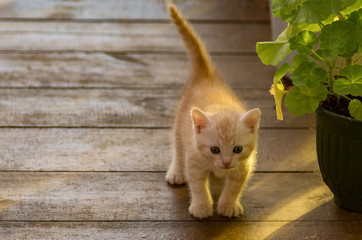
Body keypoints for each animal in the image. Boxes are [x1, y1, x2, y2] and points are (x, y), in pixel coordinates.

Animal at [167, 2, 260, 219]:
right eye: (214, 150)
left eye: (237, 149)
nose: (225, 163)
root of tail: (207, 76)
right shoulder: (194, 159)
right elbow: (198, 186)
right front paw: (201, 207)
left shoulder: (244, 165)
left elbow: (234, 187)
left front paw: (228, 206)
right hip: (180, 125)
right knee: (177, 148)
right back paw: (176, 172)